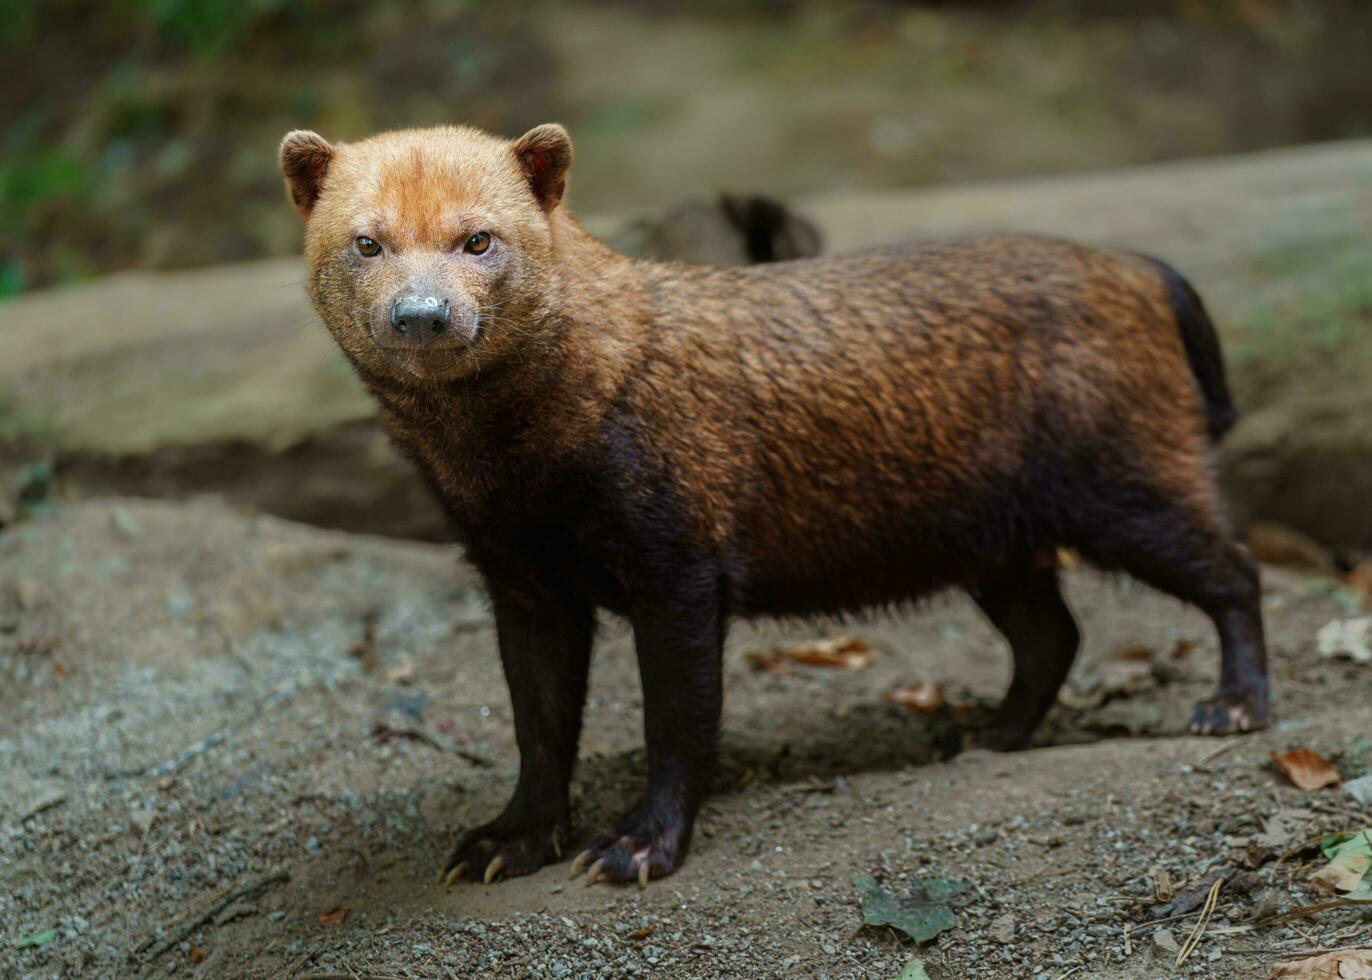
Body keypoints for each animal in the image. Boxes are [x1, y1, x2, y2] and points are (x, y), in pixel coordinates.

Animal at [281, 120, 1273, 883]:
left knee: (1233, 572)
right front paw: (504, 842)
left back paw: (1231, 706)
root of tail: (1137, 268)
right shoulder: (519, 576)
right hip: (997, 543)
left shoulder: (679, 559)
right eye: (365, 241)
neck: (520, 475)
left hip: (1127, 486)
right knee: (1052, 636)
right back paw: (985, 732)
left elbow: (678, 716)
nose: (421, 314)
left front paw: (637, 847)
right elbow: (539, 723)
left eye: (480, 238)